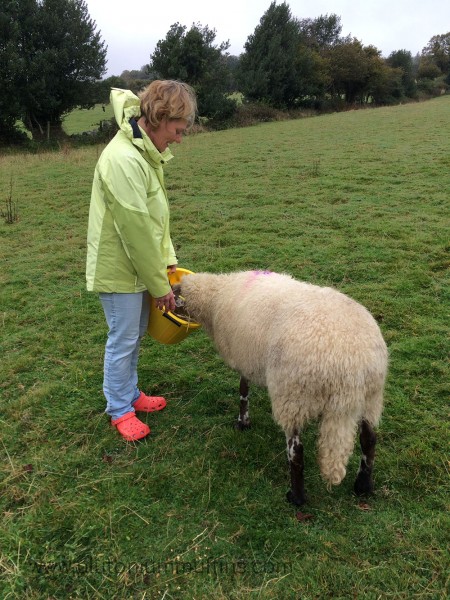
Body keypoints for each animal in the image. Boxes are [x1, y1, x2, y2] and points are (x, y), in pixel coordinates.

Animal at [175, 270, 386, 504]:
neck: (217, 294)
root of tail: (350, 366)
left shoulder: (245, 359)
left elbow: (243, 391)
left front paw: (242, 422)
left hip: (292, 396)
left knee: (296, 452)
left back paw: (296, 497)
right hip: (371, 397)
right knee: (369, 439)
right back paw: (363, 486)